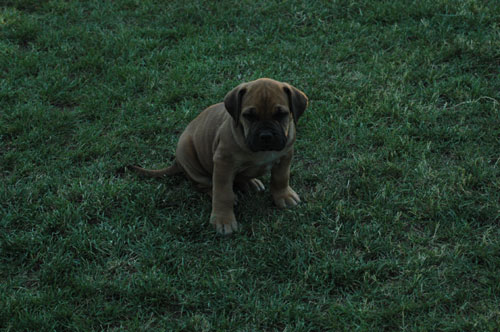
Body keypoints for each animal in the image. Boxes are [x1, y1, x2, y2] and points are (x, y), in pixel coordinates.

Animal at [131, 78, 306, 235]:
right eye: (249, 116)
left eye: (281, 114)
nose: (266, 136)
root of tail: (177, 162)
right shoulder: (223, 164)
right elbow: (223, 194)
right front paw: (223, 220)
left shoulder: (285, 156)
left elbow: (281, 179)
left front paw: (284, 196)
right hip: (188, 155)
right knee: (204, 185)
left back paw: (251, 182)